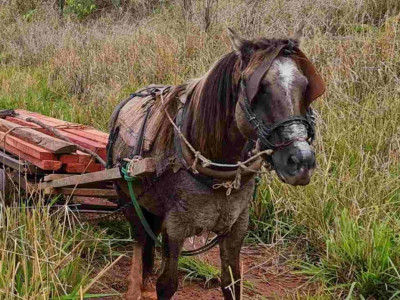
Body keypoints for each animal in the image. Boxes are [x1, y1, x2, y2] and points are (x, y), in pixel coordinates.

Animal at [108, 28, 324, 300]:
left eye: (305, 86)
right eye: (260, 88)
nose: (301, 161)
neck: (218, 172)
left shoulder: (236, 227)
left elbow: (232, 282)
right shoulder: (175, 228)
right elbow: (167, 284)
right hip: (128, 199)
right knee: (139, 240)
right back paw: (134, 287)